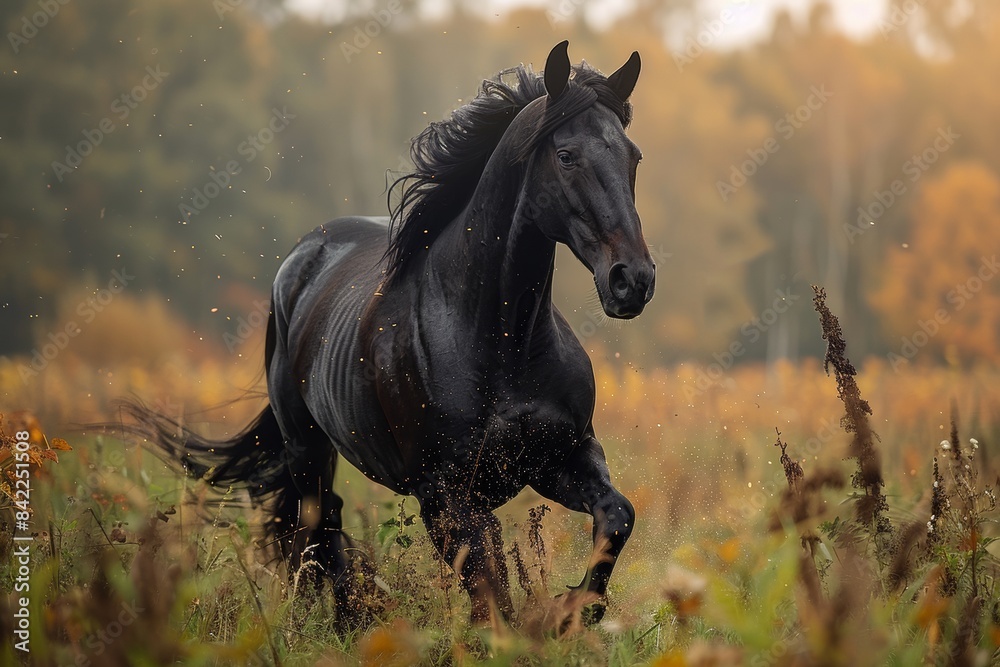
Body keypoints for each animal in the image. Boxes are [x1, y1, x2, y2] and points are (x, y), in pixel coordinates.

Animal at [126, 40, 654, 626]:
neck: (501, 342)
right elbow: (490, 592)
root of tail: (303, 256)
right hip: (305, 446)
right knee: (316, 521)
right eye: (566, 156)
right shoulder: (445, 496)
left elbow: (617, 516)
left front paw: (572, 612)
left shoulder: (563, 457)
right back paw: (341, 619)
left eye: (633, 157)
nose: (632, 281)